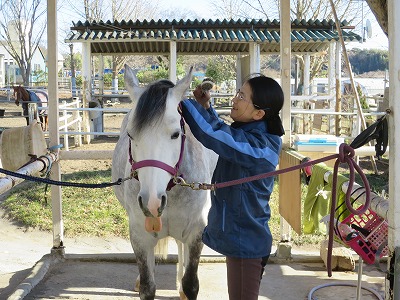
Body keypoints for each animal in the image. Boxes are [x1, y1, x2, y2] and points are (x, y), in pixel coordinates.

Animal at [111, 64, 217, 298]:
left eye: (176, 134)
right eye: (131, 135)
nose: (152, 202)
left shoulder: (196, 232)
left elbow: (191, 283)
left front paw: (184, 287)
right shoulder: (140, 236)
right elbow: (148, 286)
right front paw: (143, 282)